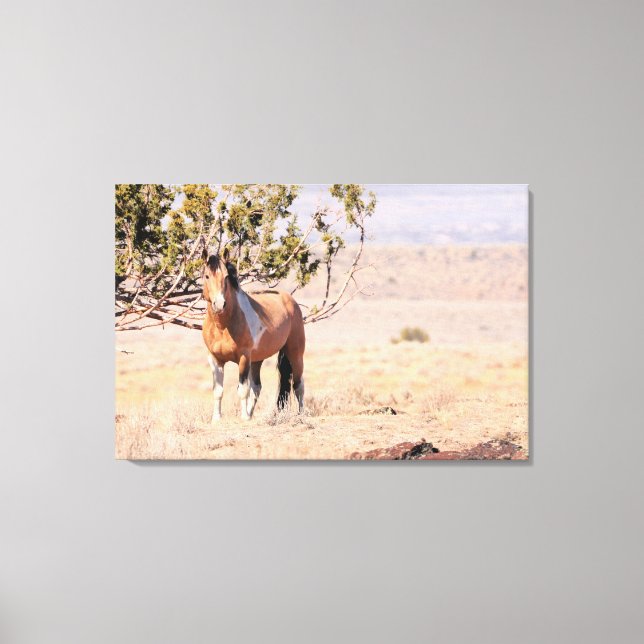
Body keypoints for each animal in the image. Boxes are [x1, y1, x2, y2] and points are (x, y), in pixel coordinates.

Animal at [201, 249, 306, 422]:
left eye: (226, 277)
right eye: (207, 276)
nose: (219, 304)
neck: (223, 326)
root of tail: (290, 301)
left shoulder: (243, 358)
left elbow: (243, 389)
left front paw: (243, 417)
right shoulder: (215, 359)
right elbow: (218, 391)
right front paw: (216, 418)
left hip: (295, 354)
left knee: (298, 384)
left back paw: (302, 414)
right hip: (257, 360)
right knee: (257, 387)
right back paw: (251, 414)